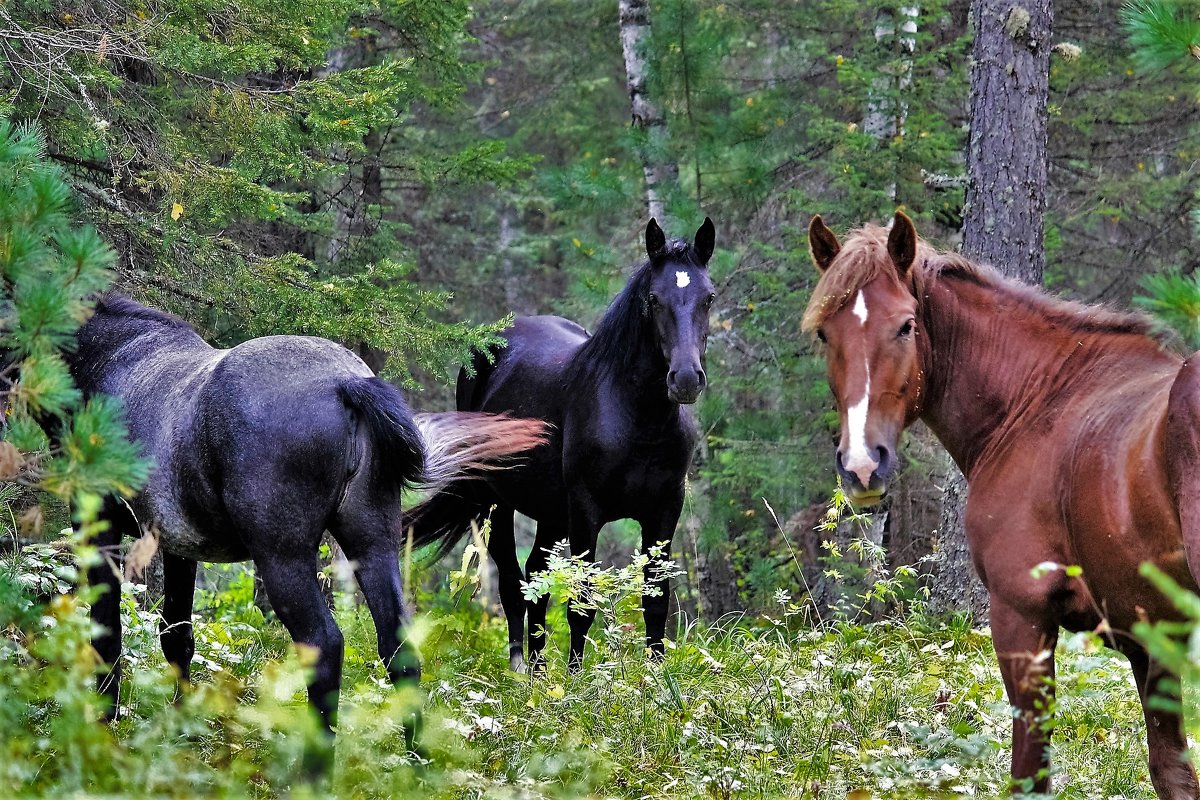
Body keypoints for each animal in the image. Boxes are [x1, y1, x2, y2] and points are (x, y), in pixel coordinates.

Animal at [68, 293, 547, 753]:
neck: (111, 356)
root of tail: (347, 384)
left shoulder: (100, 525)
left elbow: (107, 633)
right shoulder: (178, 545)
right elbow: (177, 636)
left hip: (283, 558)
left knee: (324, 644)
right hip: (372, 544)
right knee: (397, 645)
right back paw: (416, 760)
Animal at [801, 212, 1200, 800]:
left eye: (905, 326)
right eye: (826, 333)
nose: (862, 465)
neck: (1037, 402)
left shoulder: (1021, 617)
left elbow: (1029, 776)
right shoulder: (1147, 639)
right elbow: (1172, 772)